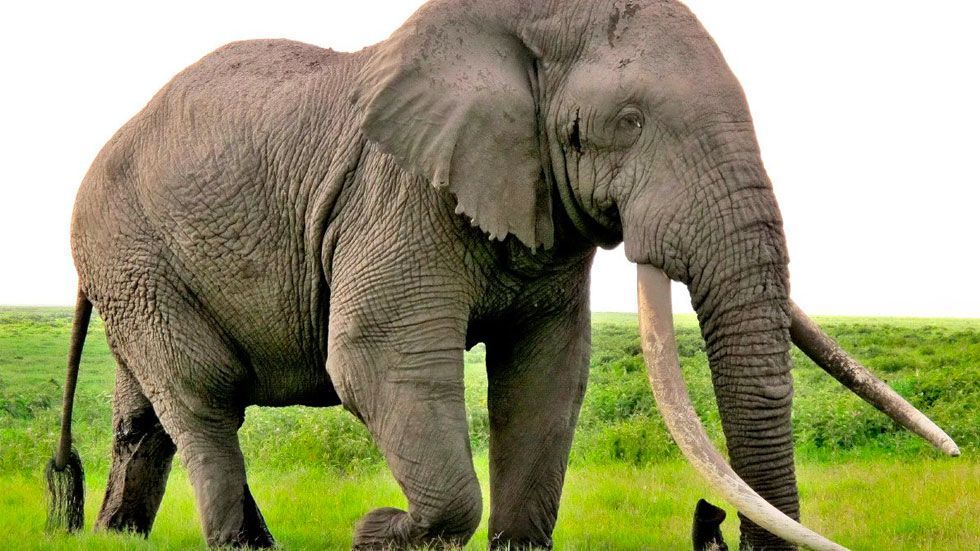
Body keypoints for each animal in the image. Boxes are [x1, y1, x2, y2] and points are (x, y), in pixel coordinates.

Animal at [45, 0, 959, 549]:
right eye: (628, 123)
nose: (716, 526)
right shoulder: (398, 193)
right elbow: (377, 359)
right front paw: (378, 529)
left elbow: (546, 375)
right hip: (133, 253)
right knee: (202, 397)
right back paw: (245, 542)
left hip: (138, 270)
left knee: (145, 416)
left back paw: (117, 535)